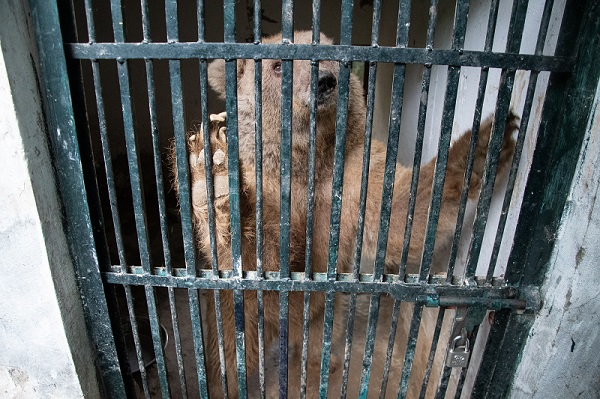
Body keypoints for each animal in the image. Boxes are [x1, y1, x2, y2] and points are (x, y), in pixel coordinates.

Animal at [171, 29, 516, 398]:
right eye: (278, 65)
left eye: (335, 58)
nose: (325, 81)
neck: (306, 160)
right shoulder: (270, 189)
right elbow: (263, 257)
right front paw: (212, 174)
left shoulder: (352, 177)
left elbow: (398, 215)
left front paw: (489, 139)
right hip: (238, 321)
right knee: (230, 357)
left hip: (327, 316)